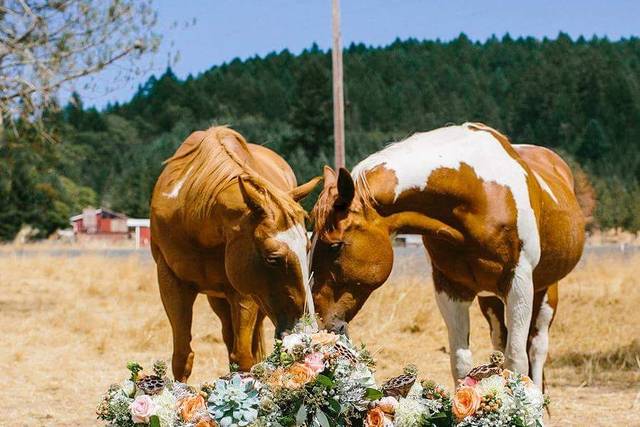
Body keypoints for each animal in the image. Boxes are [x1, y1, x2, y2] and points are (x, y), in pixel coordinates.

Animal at [151, 125, 320, 380]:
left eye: (308, 249)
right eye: (273, 259)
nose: (306, 332)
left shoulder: (243, 292)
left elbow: (243, 357)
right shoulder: (170, 281)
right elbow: (182, 357)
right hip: (219, 298)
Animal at [310, 122, 584, 386]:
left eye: (335, 245)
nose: (318, 321)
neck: (479, 194)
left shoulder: (519, 283)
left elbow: (516, 361)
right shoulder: (450, 287)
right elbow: (461, 364)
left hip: (546, 292)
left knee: (536, 349)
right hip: (490, 299)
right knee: (500, 339)